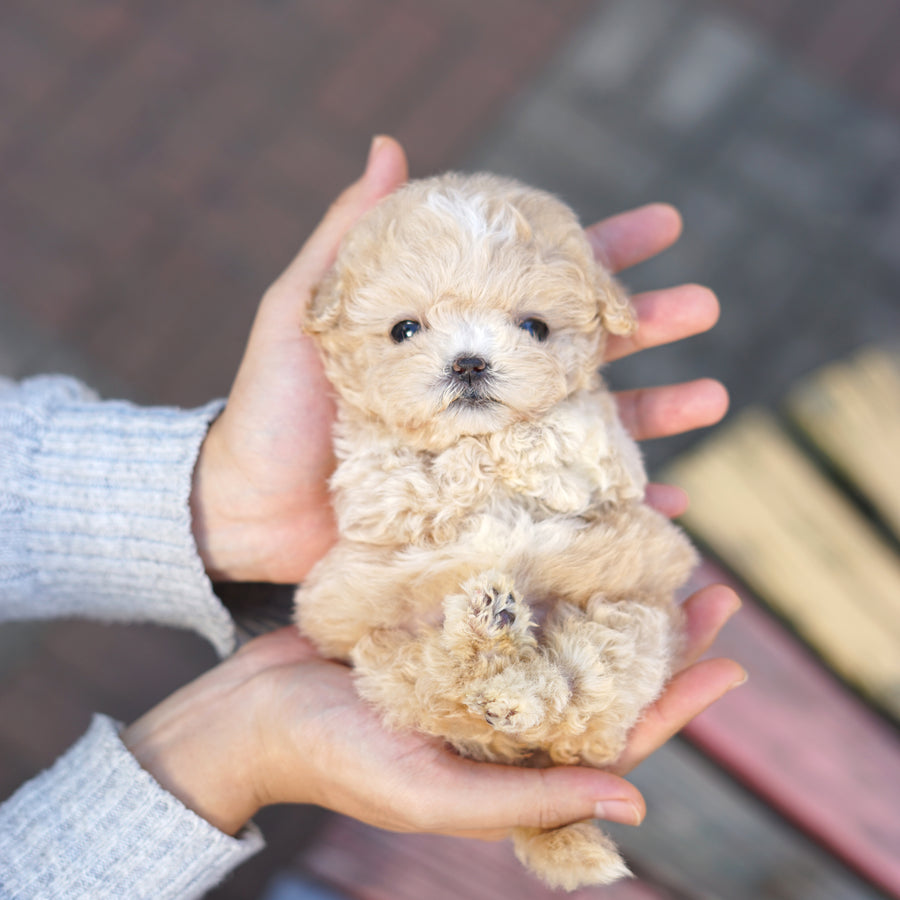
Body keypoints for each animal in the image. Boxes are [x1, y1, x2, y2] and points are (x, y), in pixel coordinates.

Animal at [296, 172, 696, 888]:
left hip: (634, 626)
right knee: (440, 689)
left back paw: (514, 684)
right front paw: (464, 464)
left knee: (573, 694)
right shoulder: (367, 483)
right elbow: (414, 473)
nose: (469, 364)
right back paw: (486, 637)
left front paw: (511, 453)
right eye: (404, 329)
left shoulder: (604, 448)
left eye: (534, 327)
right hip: (387, 655)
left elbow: (555, 433)